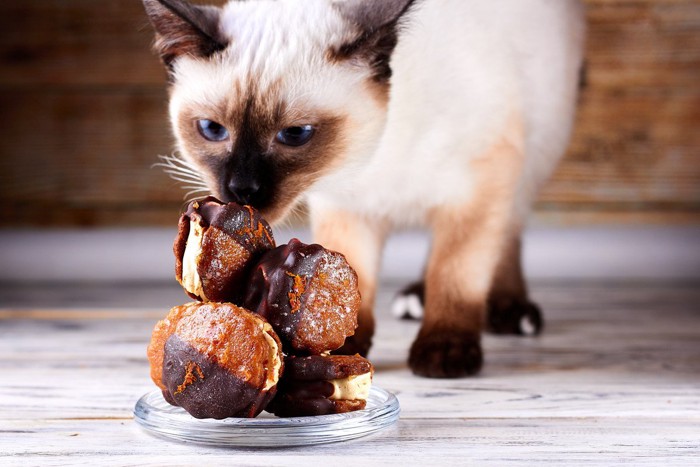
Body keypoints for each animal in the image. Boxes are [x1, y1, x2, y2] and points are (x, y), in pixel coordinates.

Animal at [145, 0, 588, 376]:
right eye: (211, 129)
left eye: (295, 134)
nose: (241, 189)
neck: (369, 162)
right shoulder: (346, 206)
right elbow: (355, 278)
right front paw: (339, 344)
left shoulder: (477, 191)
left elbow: (455, 273)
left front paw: (444, 351)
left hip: (534, 154)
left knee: (507, 232)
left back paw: (509, 311)